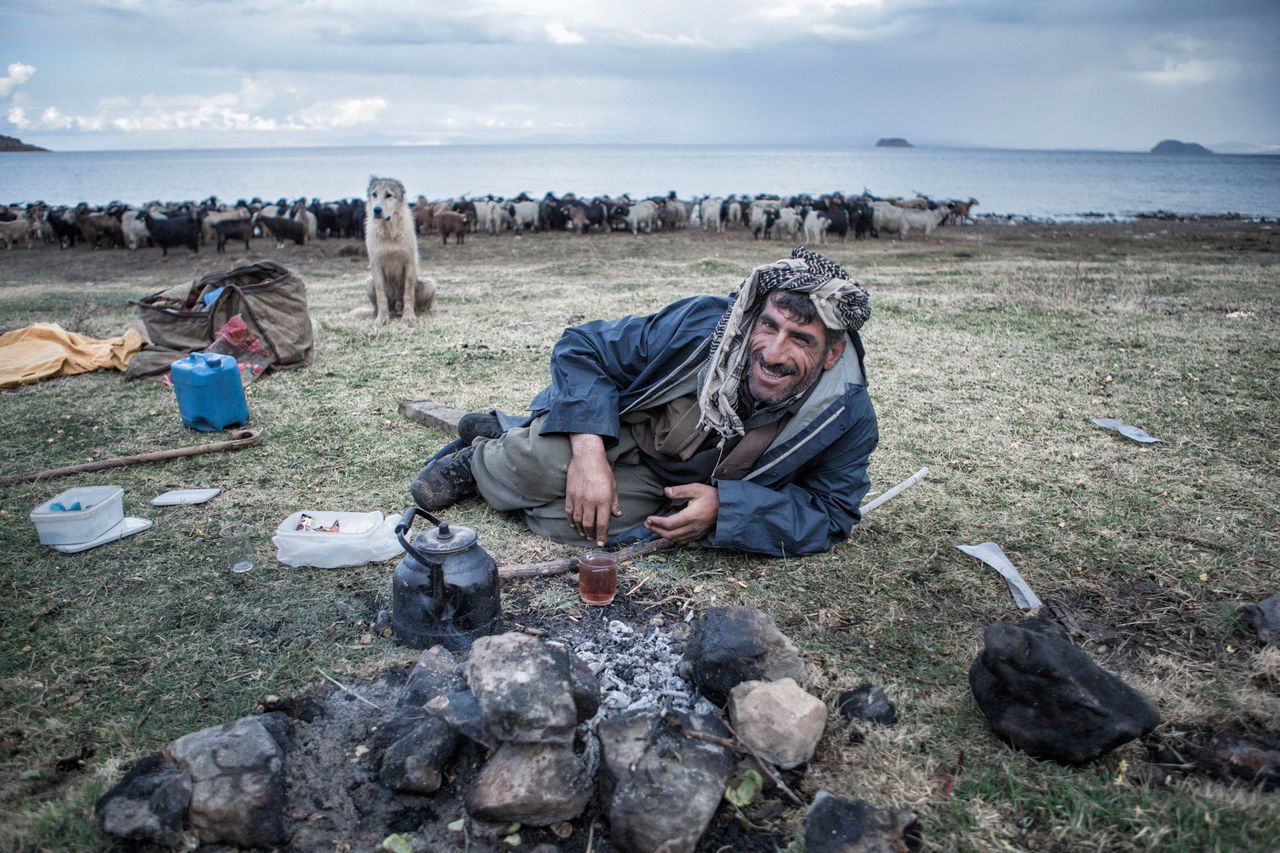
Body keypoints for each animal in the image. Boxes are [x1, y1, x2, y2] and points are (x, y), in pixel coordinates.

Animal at [366, 175, 435, 322]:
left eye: (388, 195)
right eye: (374, 194)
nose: (377, 210)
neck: (389, 232)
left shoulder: (408, 263)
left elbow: (408, 292)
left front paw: (408, 316)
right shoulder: (376, 265)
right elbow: (381, 294)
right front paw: (382, 318)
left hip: (430, 284)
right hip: (368, 283)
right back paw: (386, 313)